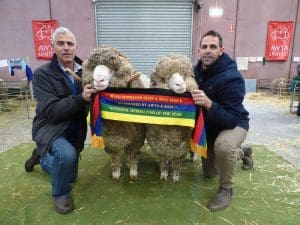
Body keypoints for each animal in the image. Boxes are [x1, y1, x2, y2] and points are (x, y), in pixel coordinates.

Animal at [82, 45, 149, 179]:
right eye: (94, 68)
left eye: (112, 70)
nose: (99, 80)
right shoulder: (108, 141)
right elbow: (114, 157)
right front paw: (116, 172)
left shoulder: (136, 138)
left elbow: (132, 155)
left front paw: (133, 171)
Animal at [146, 53, 198, 182]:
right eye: (164, 79)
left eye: (184, 75)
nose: (180, 85)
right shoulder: (160, 145)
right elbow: (164, 161)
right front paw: (164, 175)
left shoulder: (182, 147)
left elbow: (177, 164)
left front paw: (175, 177)